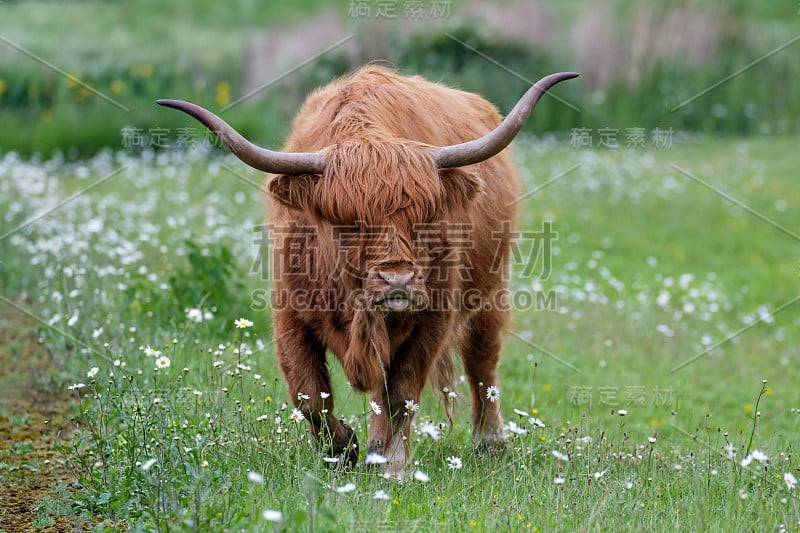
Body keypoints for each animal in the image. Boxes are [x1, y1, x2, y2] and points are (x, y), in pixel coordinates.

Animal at [159, 65, 580, 470]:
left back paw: (488, 442)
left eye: (425, 217)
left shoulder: (433, 315)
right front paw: (343, 449)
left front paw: (393, 463)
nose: (398, 280)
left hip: (491, 291)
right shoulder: (289, 313)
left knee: (482, 364)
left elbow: (402, 391)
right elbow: (309, 394)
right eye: (348, 222)